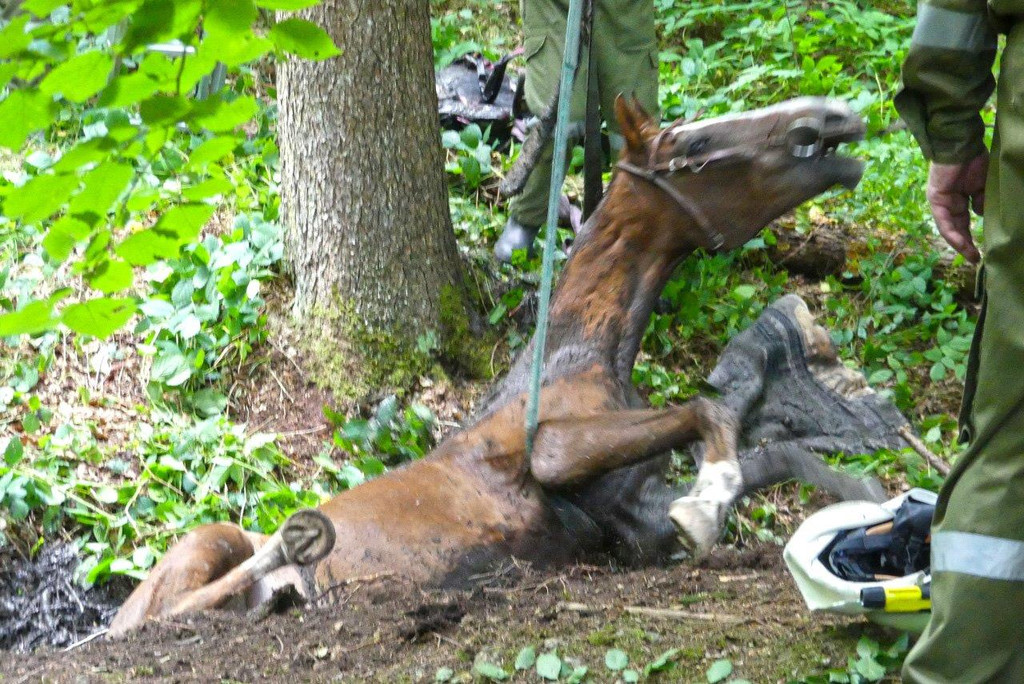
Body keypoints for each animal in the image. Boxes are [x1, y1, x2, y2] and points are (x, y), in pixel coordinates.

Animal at [108, 95, 884, 636]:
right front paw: (713, 499)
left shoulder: (632, 523)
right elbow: (708, 413)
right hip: (205, 547)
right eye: (696, 144)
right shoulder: (555, 453)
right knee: (166, 617)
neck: (579, 355)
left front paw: (859, 495)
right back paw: (292, 561)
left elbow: (772, 458)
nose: (832, 118)